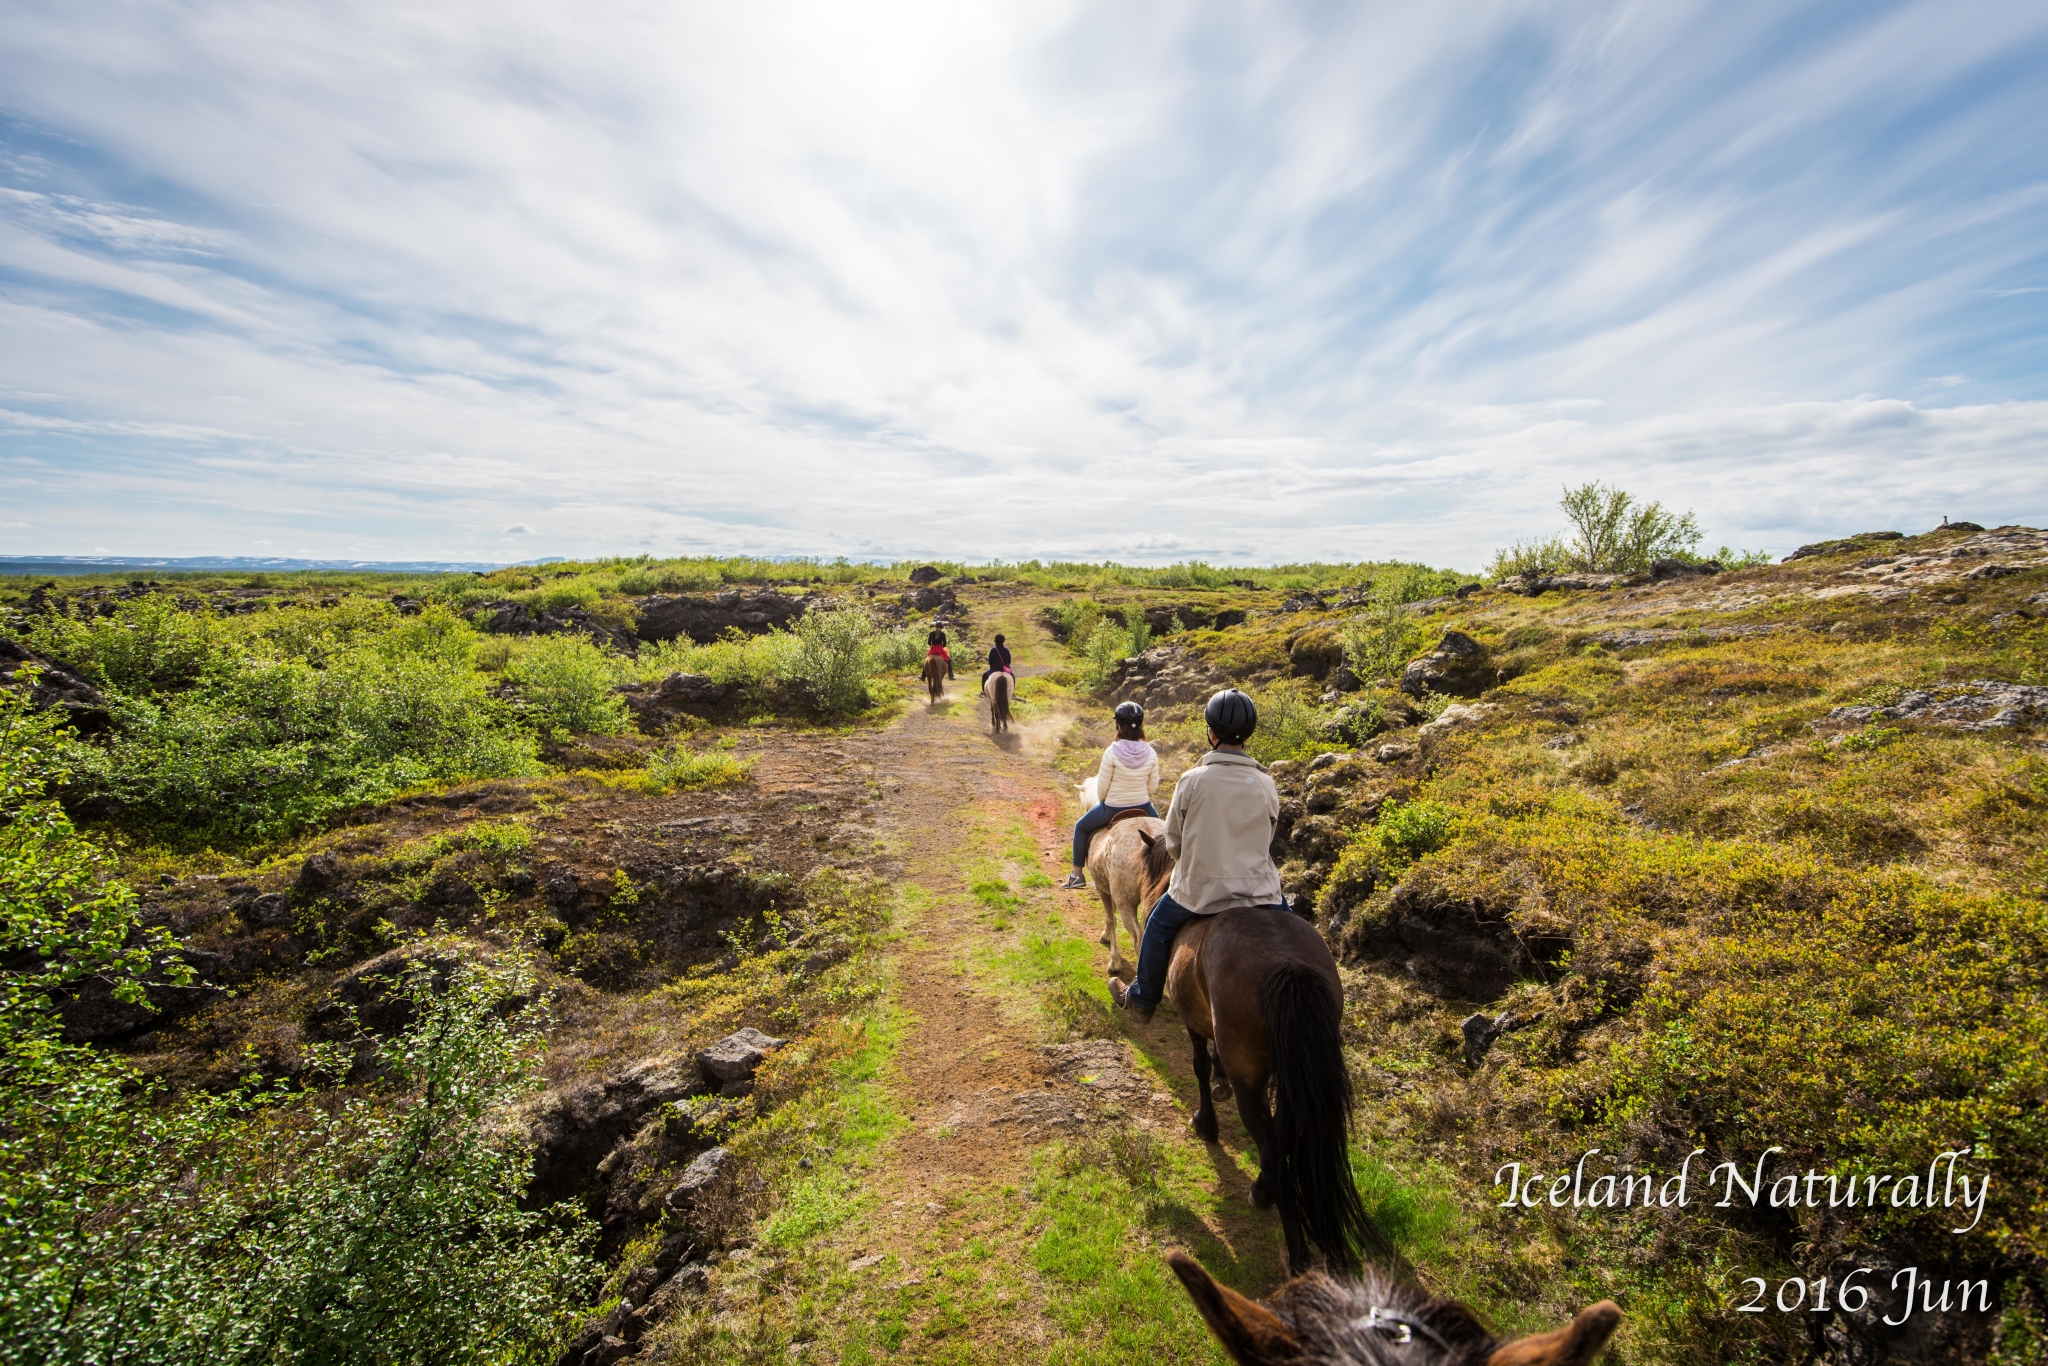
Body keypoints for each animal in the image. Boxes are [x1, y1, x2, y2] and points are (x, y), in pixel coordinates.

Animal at [1138, 835, 1376, 1286]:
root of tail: (1288, 966)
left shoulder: (1193, 1021)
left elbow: (1198, 1065)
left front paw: (1206, 1122)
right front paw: (1218, 1083)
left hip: (1251, 1075)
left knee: (1270, 1143)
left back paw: (1297, 1250)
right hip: (1288, 1073)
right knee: (1279, 1134)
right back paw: (1266, 1190)